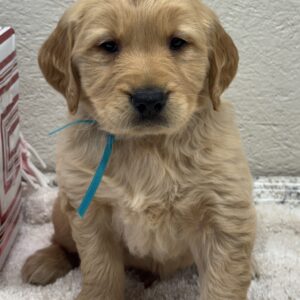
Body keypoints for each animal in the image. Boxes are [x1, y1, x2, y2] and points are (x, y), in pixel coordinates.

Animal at [21, 0, 256, 300]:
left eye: (177, 42)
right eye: (108, 46)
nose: (149, 99)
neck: (146, 145)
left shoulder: (224, 212)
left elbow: (224, 282)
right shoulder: (91, 210)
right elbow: (100, 270)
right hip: (63, 210)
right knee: (63, 243)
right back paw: (44, 261)